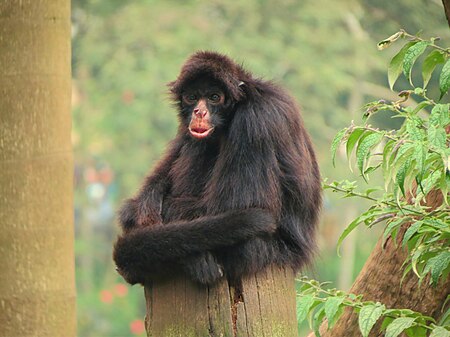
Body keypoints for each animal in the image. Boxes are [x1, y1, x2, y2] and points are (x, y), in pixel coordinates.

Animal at [114, 51, 322, 284]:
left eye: (214, 97)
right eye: (192, 97)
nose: (199, 112)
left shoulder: (255, 121)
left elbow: (232, 206)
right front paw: (141, 206)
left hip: (269, 251)